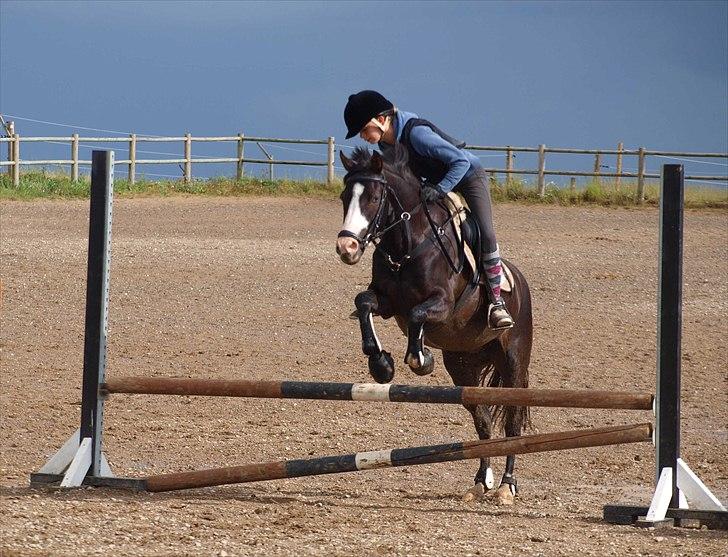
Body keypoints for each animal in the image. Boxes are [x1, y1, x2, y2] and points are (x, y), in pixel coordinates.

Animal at [336, 144, 536, 504]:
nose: (347, 247)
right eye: (345, 196)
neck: (407, 244)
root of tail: (522, 283)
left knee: (512, 421)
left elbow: (418, 316)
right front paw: (381, 364)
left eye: (373, 197)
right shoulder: (386, 302)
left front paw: (420, 358)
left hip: (513, 359)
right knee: (482, 418)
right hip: (463, 365)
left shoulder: (441, 304)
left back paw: (506, 486)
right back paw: (480, 482)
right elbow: (363, 303)